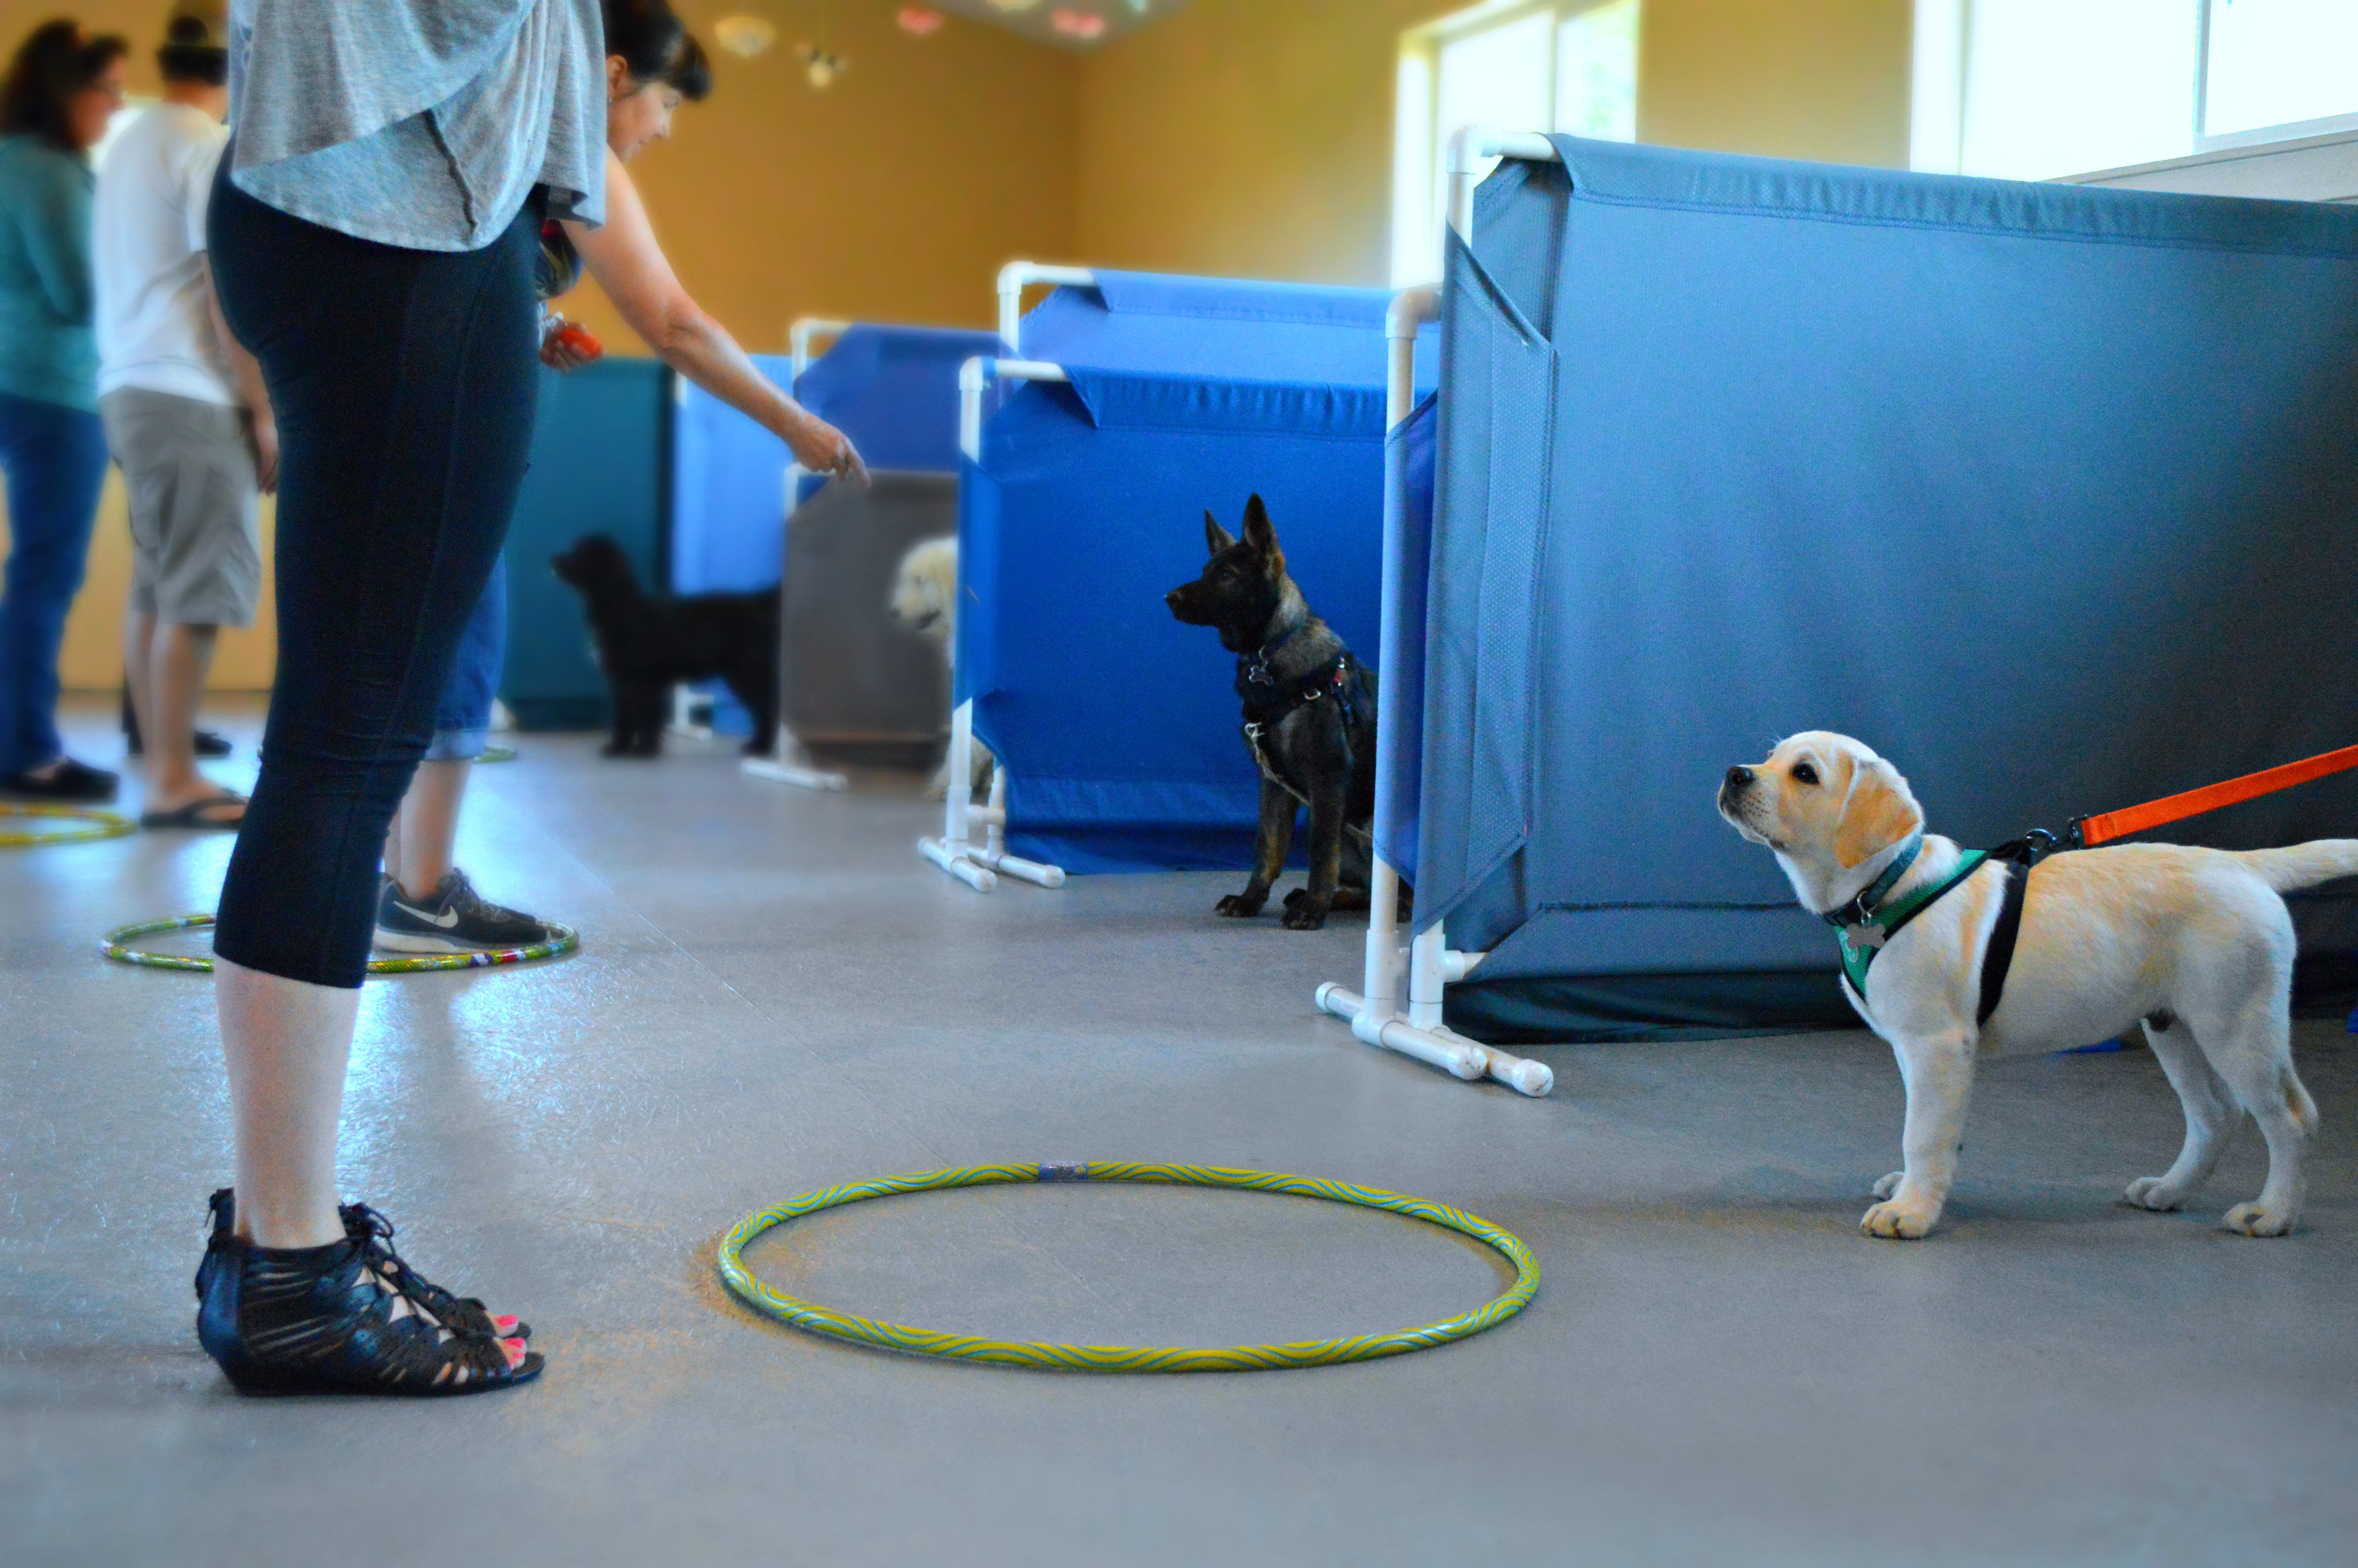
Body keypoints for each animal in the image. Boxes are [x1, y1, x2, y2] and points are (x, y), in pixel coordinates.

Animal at [547, 533, 778, 759]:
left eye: (581, 553)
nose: (553, 559)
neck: (620, 609)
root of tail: (758, 604)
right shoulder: (621, 683)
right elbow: (624, 719)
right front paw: (618, 748)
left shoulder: (641, 682)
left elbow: (645, 718)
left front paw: (644, 750)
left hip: (747, 673)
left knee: (768, 710)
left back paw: (762, 748)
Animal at [1160, 495, 1377, 924]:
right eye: (1205, 571)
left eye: (1226, 575)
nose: (1169, 599)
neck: (1269, 652)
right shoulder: (1274, 785)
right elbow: (1267, 850)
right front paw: (1250, 901)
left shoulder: (1327, 781)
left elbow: (1320, 855)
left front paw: (1313, 909)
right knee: (1369, 891)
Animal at [1716, 731, 2357, 1235]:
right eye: (1770, 756)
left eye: (1805, 773)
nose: (1733, 772)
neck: (1886, 884)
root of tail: (2243, 865)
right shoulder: (1915, 1048)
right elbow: (1934, 1128)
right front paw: (1916, 1191)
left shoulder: (1936, 1044)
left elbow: (1922, 1130)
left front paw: (1911, 1213)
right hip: (2173, 1025)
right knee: (2215, 1116)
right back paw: (2169, 1191)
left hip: (2237, 1025)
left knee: (2292, 1119)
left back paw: (2271, 1215)